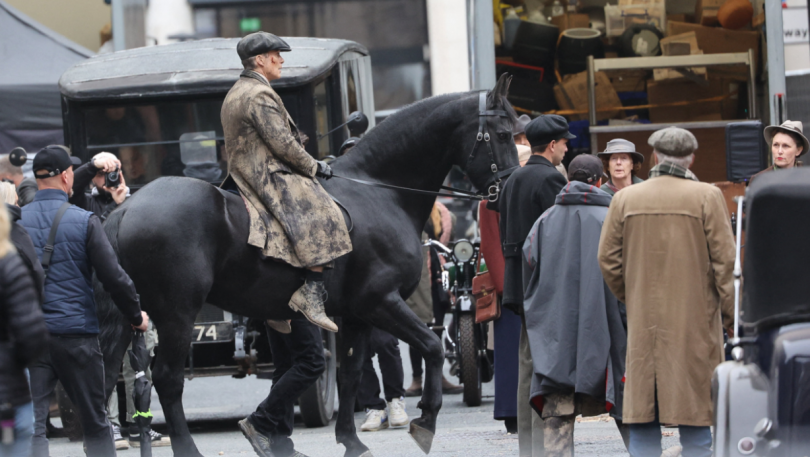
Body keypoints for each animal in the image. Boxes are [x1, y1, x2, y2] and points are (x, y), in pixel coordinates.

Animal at [96, 73, 516, 454]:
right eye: (504, 134)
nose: (506, 190)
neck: (381, 192)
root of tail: (125, 209)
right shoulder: (381, 301)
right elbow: (431, 347)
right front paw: (426, 418)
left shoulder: (356, 316)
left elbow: (351, 375)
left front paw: (349, 440)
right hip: (176, 314)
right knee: (167, 379)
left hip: (129, 316)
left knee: (106, 376)